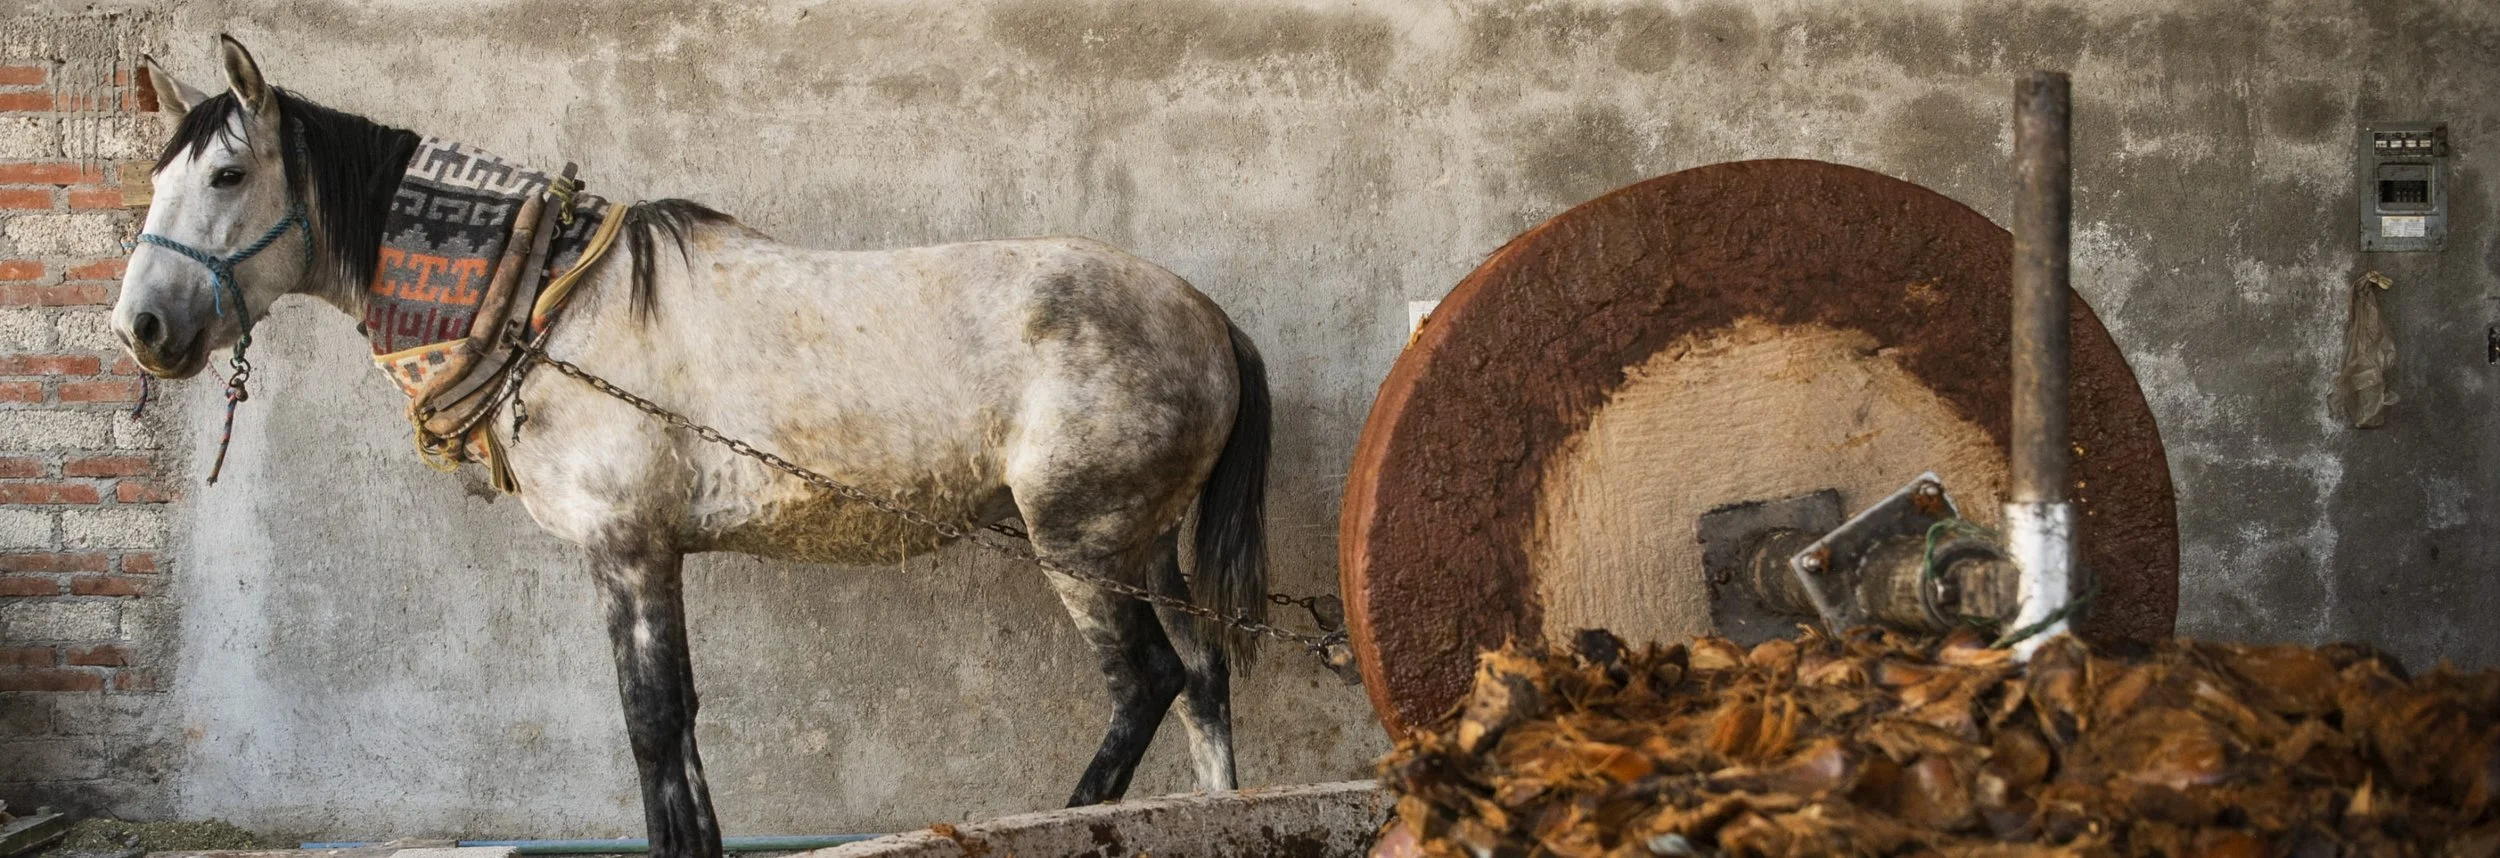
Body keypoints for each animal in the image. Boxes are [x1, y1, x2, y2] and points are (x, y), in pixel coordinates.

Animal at [115, 36, 1272, 858]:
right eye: (158, 180)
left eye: (226, 177)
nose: (143, 329)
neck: (544, 307)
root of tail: (1209, 315)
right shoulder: (654, 554)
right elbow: (679, 734)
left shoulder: (627, 549)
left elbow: (652, 725)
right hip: (1146, 548)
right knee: (1205, 685)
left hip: (1079, 543)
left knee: (1146, 687)